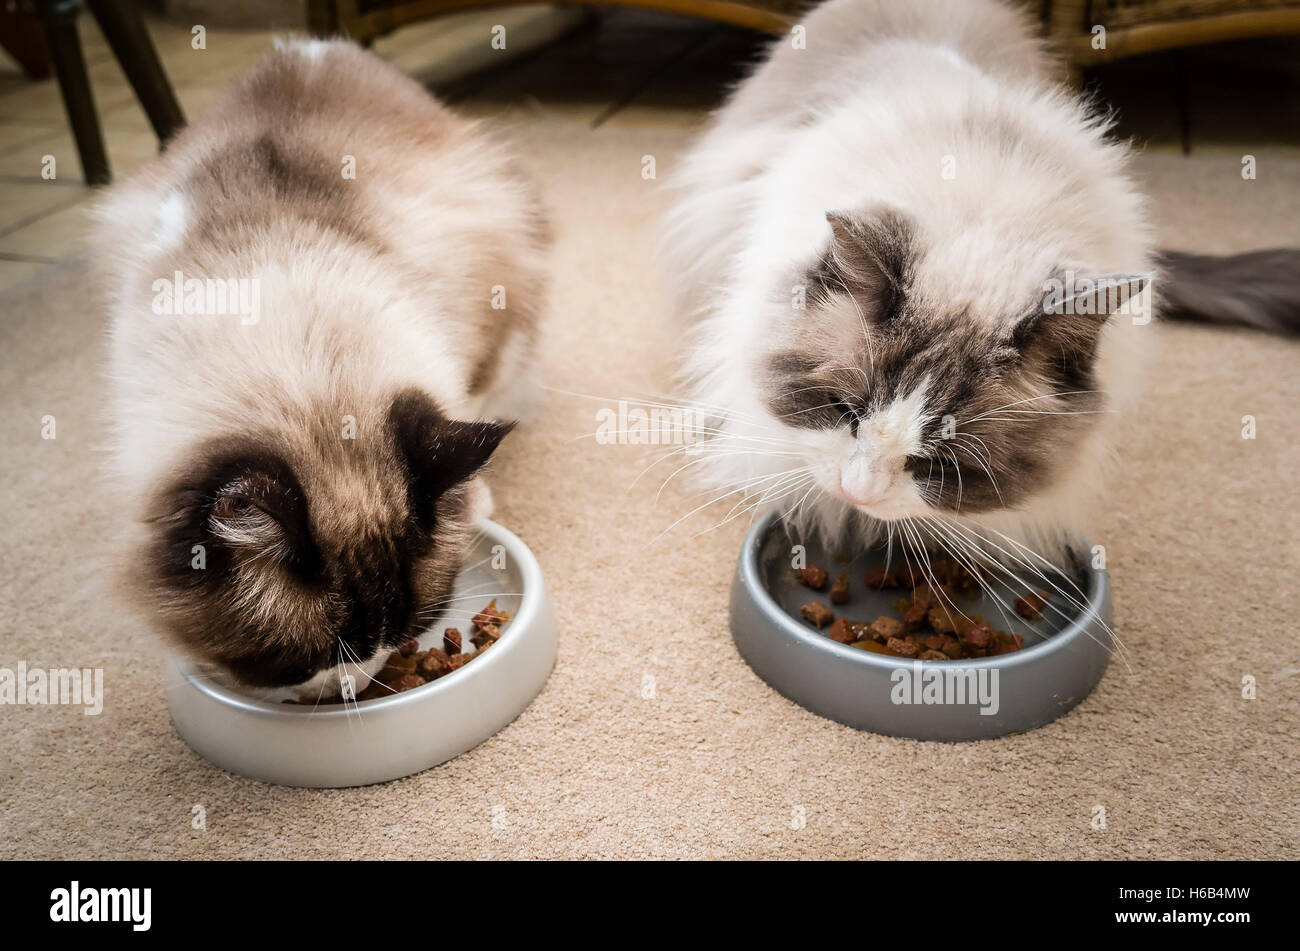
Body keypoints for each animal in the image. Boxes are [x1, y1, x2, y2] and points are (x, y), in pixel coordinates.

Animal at [98, 38, 546, 696]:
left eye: (403, 633)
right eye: (310, 659)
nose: (351, 689)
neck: (301, 371)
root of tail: (313, 46)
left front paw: (479, 502)